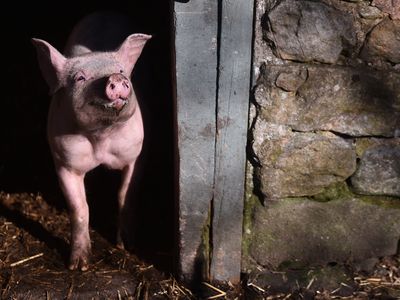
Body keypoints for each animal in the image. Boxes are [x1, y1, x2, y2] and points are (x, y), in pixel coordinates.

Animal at [31, 13, 152, 272]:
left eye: (121, 70)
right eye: (80, 78)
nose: (116, 77)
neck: (101, 137)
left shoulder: (136, 155)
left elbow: (125, 194)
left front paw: (126, 246)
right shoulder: (65, 162)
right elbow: (79, 208)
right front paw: (79, 266)